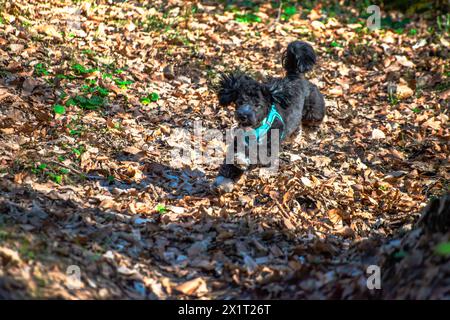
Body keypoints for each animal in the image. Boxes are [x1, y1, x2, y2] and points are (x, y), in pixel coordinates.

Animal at [213, 42, 326, 192]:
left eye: (258, 105)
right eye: (240, 102)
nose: (243, 115)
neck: (255, 129)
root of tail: (295, 77)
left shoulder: (267, 148)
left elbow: (255, 155)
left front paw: (242, 160)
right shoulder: (238, 142)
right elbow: (229, 164)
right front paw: (223, 181)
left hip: (313, 109)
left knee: (313, 119)